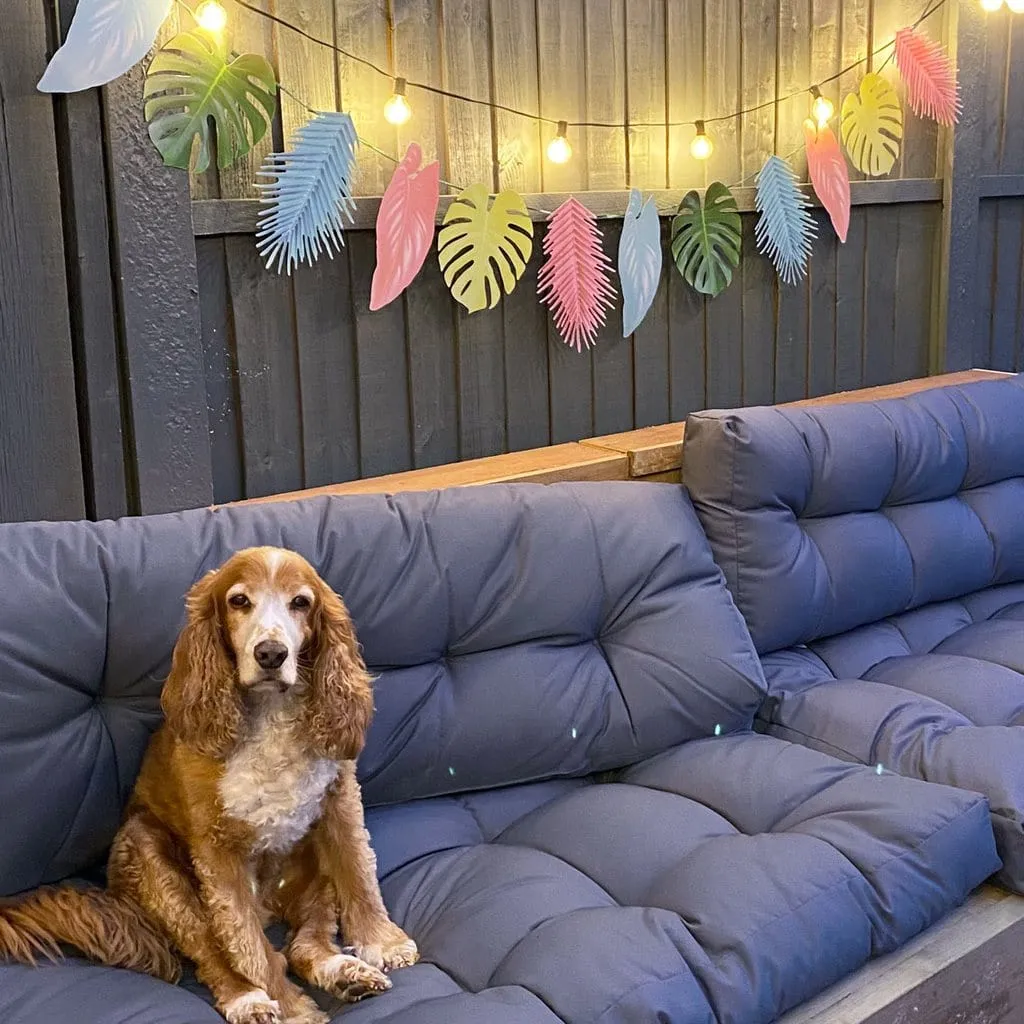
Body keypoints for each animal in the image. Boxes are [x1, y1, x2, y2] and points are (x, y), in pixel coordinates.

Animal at [0, 548, 417, 1024]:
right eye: (239, 601)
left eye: (301, 602)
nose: (271, 653)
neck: (270, 714)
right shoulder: (218, 854)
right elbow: (248, 947)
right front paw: (291, 1009)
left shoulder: (338, 800)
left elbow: (358, 872)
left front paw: (383, 942)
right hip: (149, 857)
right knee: (216, 952)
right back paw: (248, 997)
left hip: (309, 869)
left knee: (304, 942)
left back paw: (344, 971)